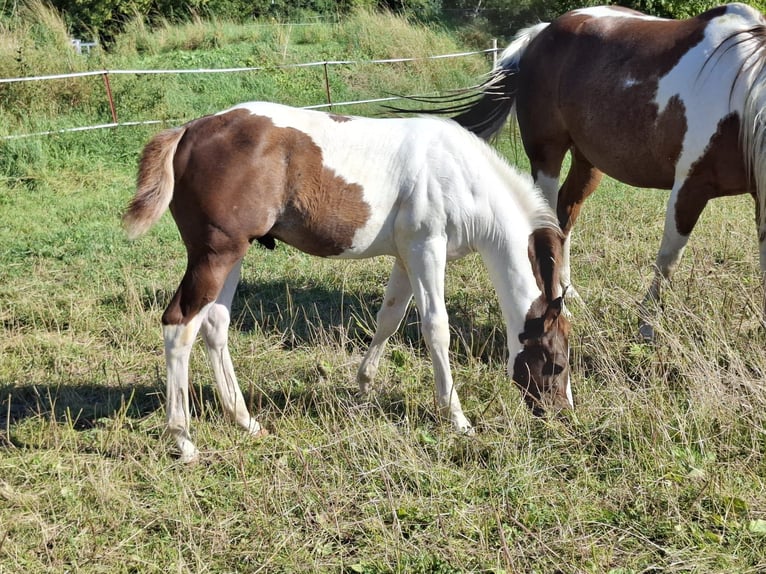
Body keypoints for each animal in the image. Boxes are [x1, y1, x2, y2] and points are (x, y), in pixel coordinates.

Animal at [124, 102, 568, 464]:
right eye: (558, 364)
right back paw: (184, 440)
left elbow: (389, 318)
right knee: (179, 326)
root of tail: (188, 131)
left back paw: (245, 421)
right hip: (215, 255)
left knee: (215, 324)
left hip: (233, 253)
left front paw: (363, 388)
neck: (457, 175)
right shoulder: (426, 249)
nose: (560, 416)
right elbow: (435, 328)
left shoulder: (406, 258)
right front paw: (457, 417)